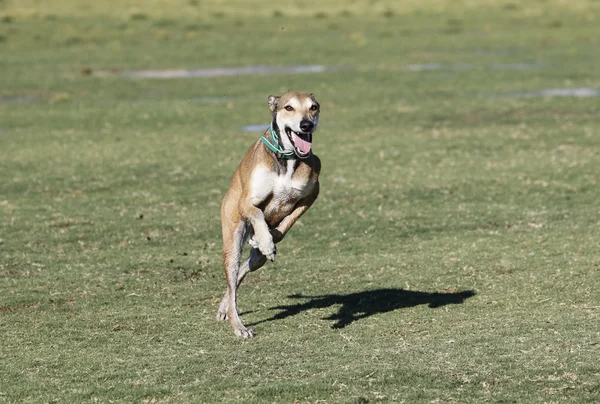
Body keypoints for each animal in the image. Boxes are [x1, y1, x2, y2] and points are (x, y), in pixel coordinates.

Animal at [214, 91, 318, 338]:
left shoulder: (311, 194)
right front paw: (266, 241)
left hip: (255, 260)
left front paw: (269, 238)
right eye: (288, 107)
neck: (287, 160)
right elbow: (257, 213)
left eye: (314, 107)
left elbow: (287, 222)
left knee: (243, 270)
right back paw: (238, 325)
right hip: (232, 238)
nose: (306, 125)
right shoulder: (246, 203)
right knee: (233, 277)